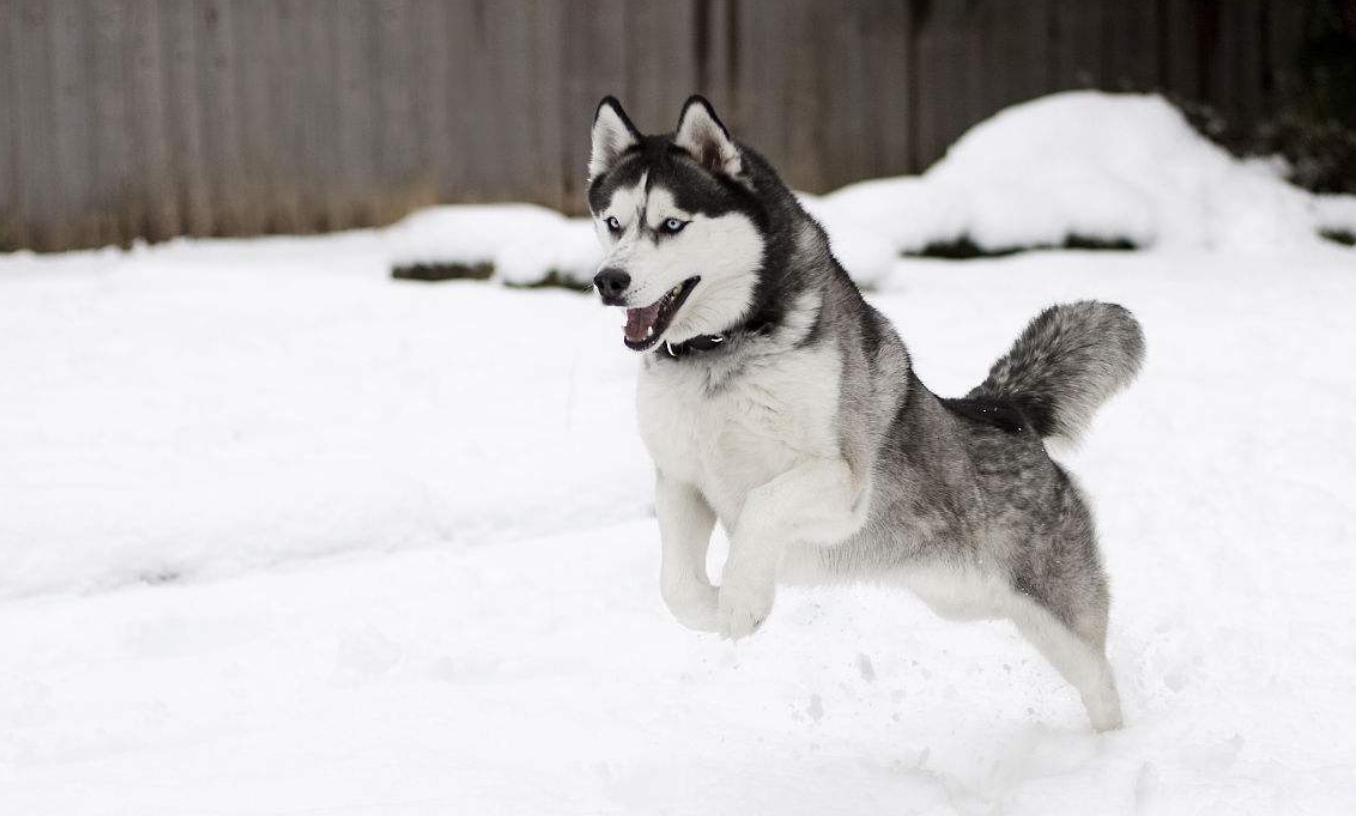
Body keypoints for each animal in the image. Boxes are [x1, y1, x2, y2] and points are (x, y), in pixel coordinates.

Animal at [585, 95, 1144, 731]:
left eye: (672, 224)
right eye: (614, 223)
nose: (608, 281)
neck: (719, 354)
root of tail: (1003, 408)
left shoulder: (841, 484)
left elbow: (762, 506)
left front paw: (744, 598)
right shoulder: (681, 479)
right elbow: (675, 587)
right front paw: (713, 605)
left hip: (1055, 614)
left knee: (1098, 678)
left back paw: (1110, 745)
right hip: (963, 597)